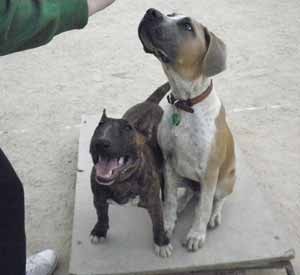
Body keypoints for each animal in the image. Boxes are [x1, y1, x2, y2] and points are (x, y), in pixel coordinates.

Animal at [89, 83, 173, 258]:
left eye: (127, 128)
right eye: (99, 127)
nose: (101, 142)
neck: (122, 181)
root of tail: (150, 103)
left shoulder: (153, 203)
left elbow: (158, 223)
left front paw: (161, 243)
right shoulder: (98, 199)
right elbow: (102, 216)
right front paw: (99, 231)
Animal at [139, 8, 237, 252]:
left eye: (187, 26)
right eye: (170, 13)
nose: (151, 11)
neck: (185, 103)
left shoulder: (210, 172)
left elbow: (203, 208)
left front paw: (196, 234)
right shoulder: (168, 162)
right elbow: (170, 199)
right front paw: (167, 223)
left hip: (224, 181)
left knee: (216, 199)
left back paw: (214, 216)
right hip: (181, 176)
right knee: (191, 194)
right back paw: (183, 204)